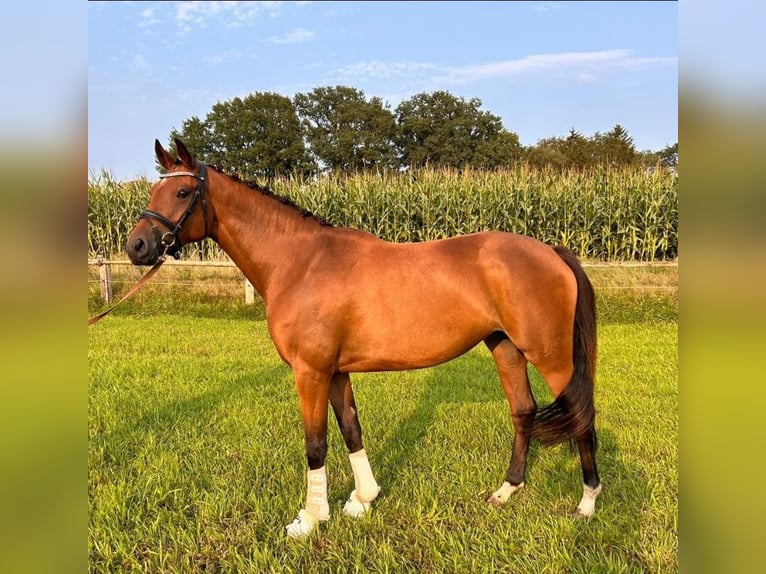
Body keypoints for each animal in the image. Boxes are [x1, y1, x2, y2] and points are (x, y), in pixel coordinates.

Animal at [129, 140, 604, 540]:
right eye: (155, 190)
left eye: (183, 192)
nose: (137, 246)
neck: (300, 262)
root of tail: (552, 251)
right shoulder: (336, 372)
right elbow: (351, 430)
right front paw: (363, 499)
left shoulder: (311, 372)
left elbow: (316, 444)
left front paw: (310, 519)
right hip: (506, 348)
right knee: (523, 412)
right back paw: (506, 491)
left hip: (552, 356)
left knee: (581, 415)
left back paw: (587, 504)